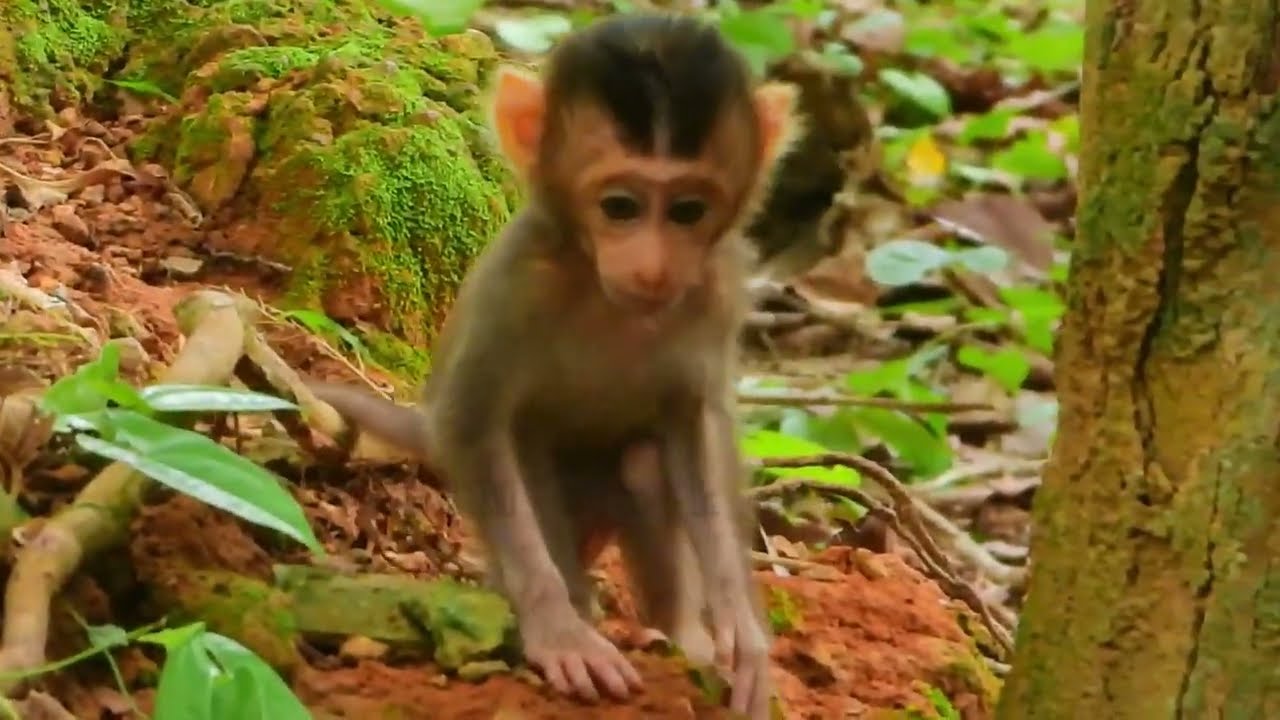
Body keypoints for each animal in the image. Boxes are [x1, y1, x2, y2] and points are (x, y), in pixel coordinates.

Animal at [307, 12, 798, 717]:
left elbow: (696, 425)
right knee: (524, 453)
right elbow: (471, 422)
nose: (654, 270)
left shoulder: (718, 289)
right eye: (620, 205)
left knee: (644, 463)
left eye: (688, 211)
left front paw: (742, 630)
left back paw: (677, 632)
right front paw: (558, 631)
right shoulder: (518, 284)